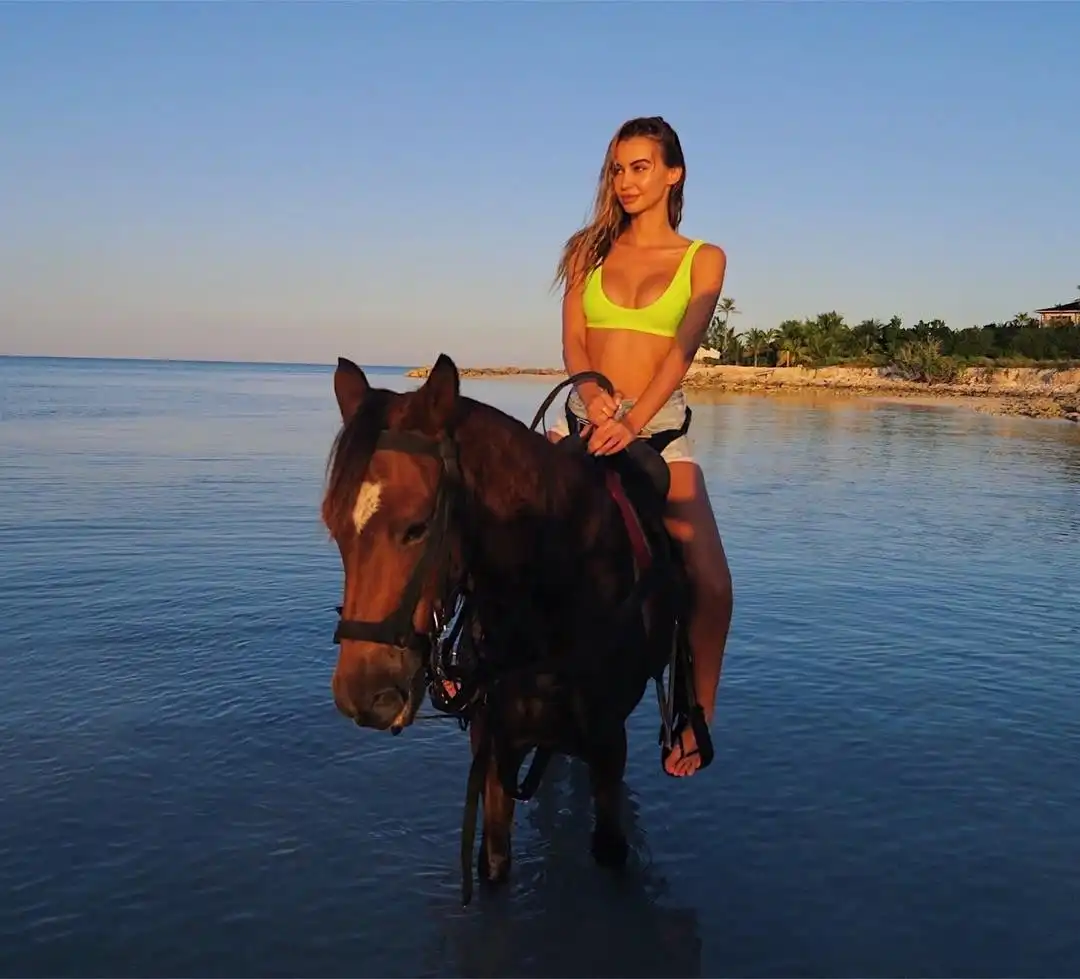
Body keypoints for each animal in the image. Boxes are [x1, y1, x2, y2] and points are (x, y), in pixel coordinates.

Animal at [320, 353, 712, 903]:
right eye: (334, 526)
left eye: (418, 526)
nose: (363, 694)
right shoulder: (494, 750)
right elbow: (495, 860)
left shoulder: (609, 747)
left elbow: (611, 851)